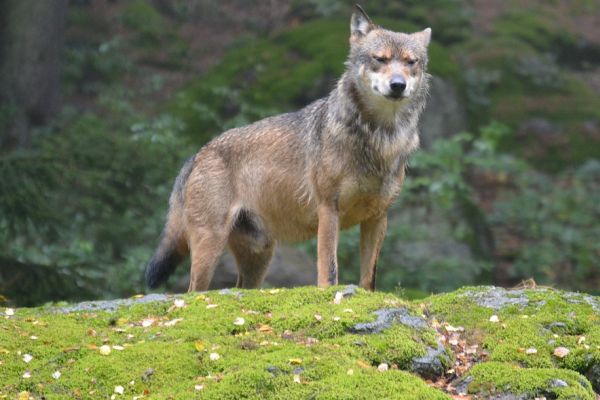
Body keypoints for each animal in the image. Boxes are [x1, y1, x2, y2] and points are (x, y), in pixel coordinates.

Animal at [145, 5, 432, 290]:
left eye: (410, 62)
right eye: (380, 59)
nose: (398, 85)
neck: (379, 137)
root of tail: (197, 154)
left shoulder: (378, 217)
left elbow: (368, 279)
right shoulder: (328, 209)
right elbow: (329, 269)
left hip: (259, 259)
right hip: (210, 248)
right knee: (194, 291)